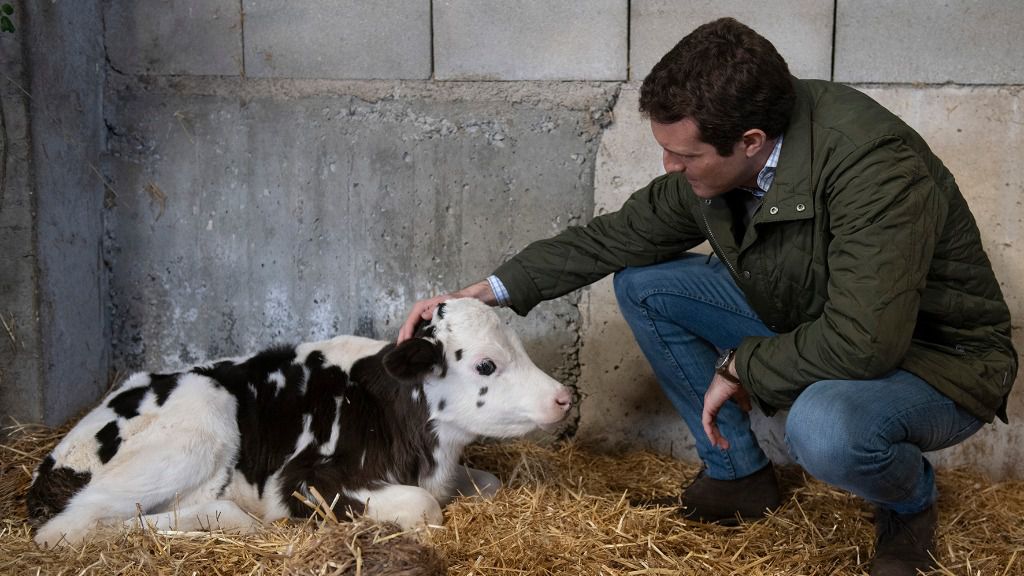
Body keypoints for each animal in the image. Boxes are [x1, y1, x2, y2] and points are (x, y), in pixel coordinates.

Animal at [28, 297, 573, 545]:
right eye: (486, 365)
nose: (563, 397)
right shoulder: (306, 478)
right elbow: (424, 508)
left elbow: (488, 484)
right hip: (201, 419)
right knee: (70, 526)